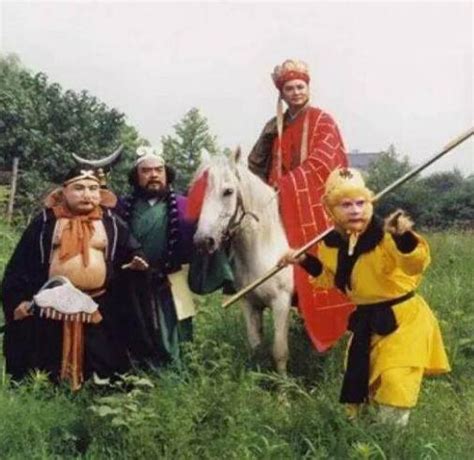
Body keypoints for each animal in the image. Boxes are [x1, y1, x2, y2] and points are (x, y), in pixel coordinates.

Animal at [192, 149, 293, 375]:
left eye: (228, 191)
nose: (203, 241)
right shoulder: (249, 304)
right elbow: (256, 347)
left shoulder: (281, 302)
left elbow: (280, 351)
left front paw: (283, 384)